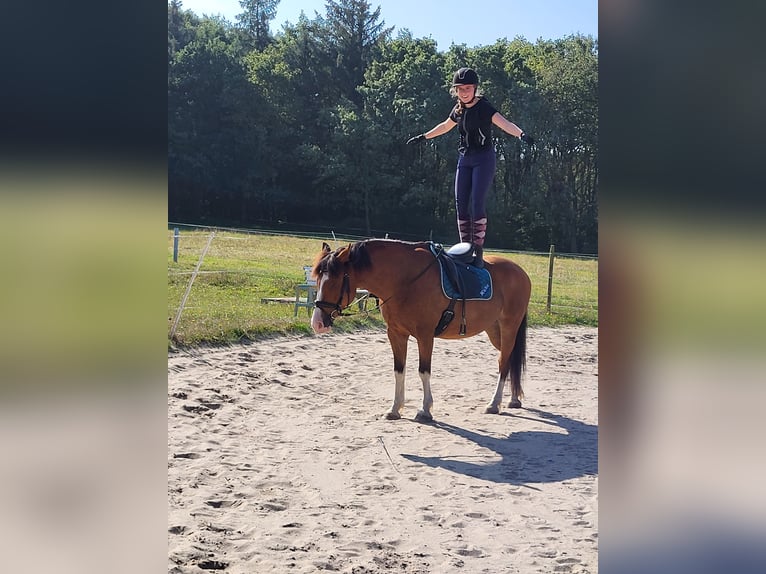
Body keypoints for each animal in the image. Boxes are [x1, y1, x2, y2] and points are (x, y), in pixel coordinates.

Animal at [308, 238, 532, 424]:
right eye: (317, 280)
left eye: (335, 281)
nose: (317, 323)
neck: (404, 280)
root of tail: (520, 272)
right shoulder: (396, 334)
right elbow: (399, 370)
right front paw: (395, 409)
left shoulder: (425, 335)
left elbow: (423, 371)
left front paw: (425, 410)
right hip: (494, 330)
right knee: (510, 359)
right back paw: (513, 399)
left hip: (509, 326)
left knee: (503, 362)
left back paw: (494, 403)